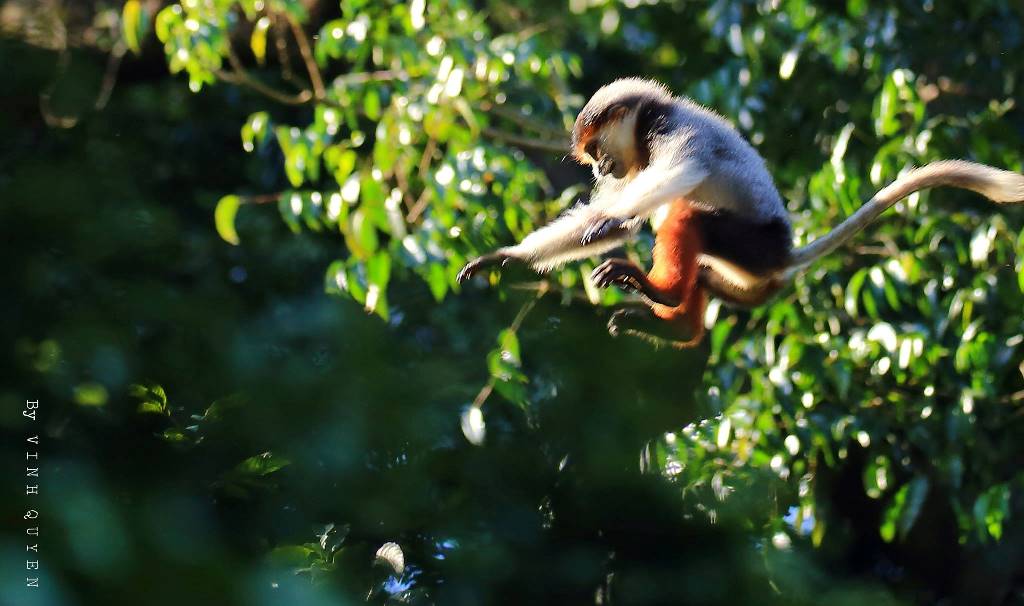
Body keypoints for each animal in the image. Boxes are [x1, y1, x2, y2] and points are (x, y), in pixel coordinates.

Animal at [458, 78, 1024, 348]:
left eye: (596, 149)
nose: (598, 167)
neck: (649, 125)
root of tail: (785, 255)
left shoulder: (671, 131)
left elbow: (682, 173)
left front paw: (611, 221)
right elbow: (625, 220)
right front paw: (506, 258)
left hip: (754, 245)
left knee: (688, 215)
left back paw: (663, 293)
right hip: (740, 274)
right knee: (695, 252)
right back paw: (678, 326)